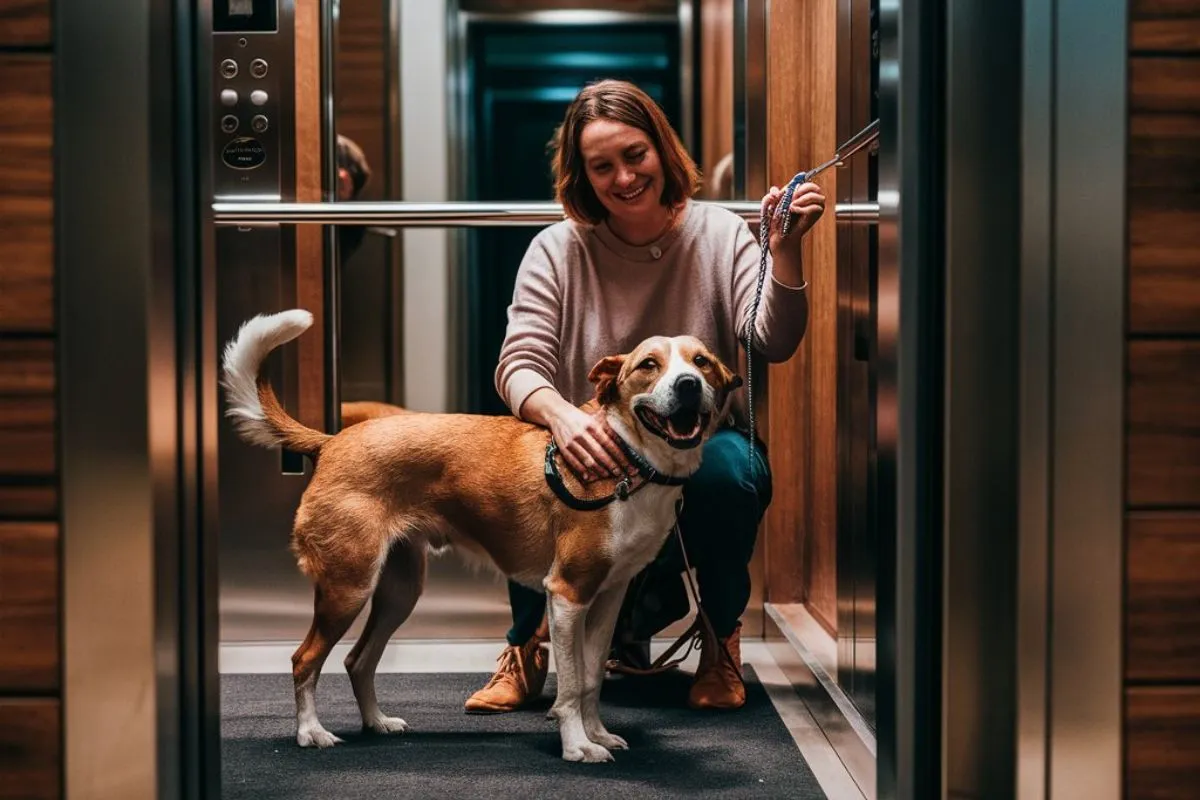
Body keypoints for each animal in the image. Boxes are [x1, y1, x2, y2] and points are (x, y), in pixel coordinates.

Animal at [217, 307, 739, 762]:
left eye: (702, 362)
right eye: (649, 365)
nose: (688, 385)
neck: (630, 459)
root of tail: (332, 441)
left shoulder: (608, 598)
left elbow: (591, 678)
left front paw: (598, 735)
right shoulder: (567, 593)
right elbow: (572, 685)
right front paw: (576, 747)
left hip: (399, 590)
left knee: (358, 660)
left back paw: (376, 722)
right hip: (347, 587)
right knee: (304, 659)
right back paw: (311, 732)